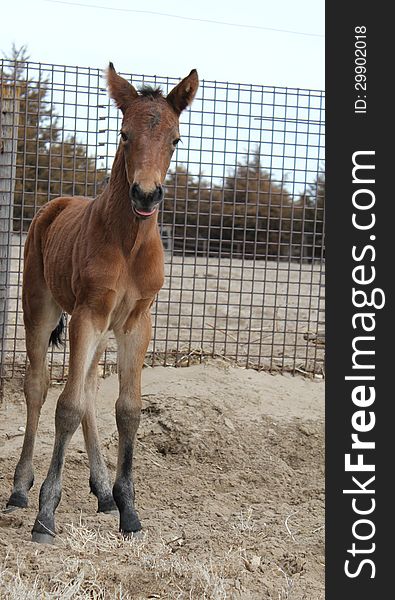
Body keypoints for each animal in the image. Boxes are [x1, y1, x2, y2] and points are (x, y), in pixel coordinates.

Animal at [8, 62, 201, 544]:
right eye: (124, 134)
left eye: (176, 139)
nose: (146, 195)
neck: (128, 244)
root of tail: (55, 204)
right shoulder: (88, 314)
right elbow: (67, 406)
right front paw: (45, 516)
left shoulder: (136, 322)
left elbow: (127, 409)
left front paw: (128, 509)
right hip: (41, 308)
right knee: (38, 386)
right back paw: (20, 489)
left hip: (97, 329)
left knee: (91, 390)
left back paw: (103, 492)